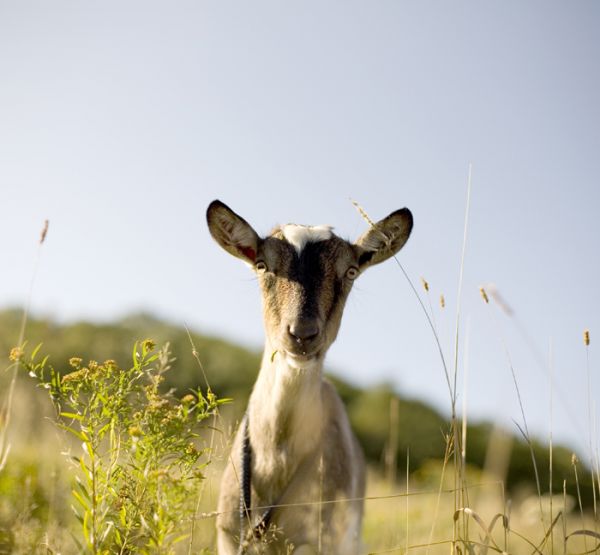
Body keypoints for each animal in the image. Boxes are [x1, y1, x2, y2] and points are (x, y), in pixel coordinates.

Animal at [206, 201, 412, 555]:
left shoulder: (316, 542)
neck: (276, 460)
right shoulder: (228, 537)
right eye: (262, 265)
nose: (302, 334)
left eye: (351, 271)